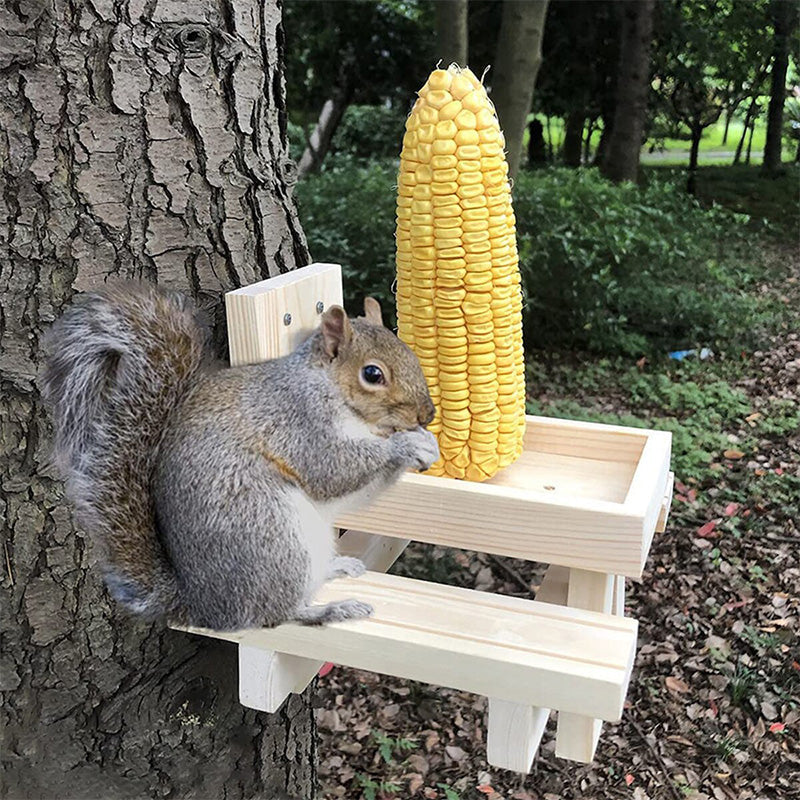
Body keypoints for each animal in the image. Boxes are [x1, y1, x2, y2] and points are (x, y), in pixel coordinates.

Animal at [41, 282, 439, 631]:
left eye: (409, 352)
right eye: (372, 374)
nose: (427, 414)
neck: (330, 389)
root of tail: (204, 607)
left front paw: (426, 443)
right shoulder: (298, 421)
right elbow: (331, 470)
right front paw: (406, 447)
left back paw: (335, 570)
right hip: (272, 537)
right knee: (274, 614)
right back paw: (330, 610)